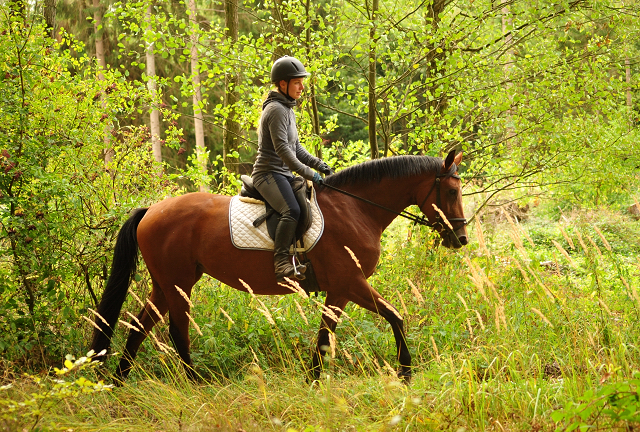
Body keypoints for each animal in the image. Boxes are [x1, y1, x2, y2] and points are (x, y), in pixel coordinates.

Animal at [87, 150, 468, 384]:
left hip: (166, 283)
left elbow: (325, 337)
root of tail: (150, 210)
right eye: (451, 191)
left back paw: (120, 381)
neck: (356, 209)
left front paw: (312, 380)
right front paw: (405, 371)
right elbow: (392, 317)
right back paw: (195, 384)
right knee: (176, 332)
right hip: (178, 283)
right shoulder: (350, 283)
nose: (461, 238)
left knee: (139, 327)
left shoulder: (340, 290)